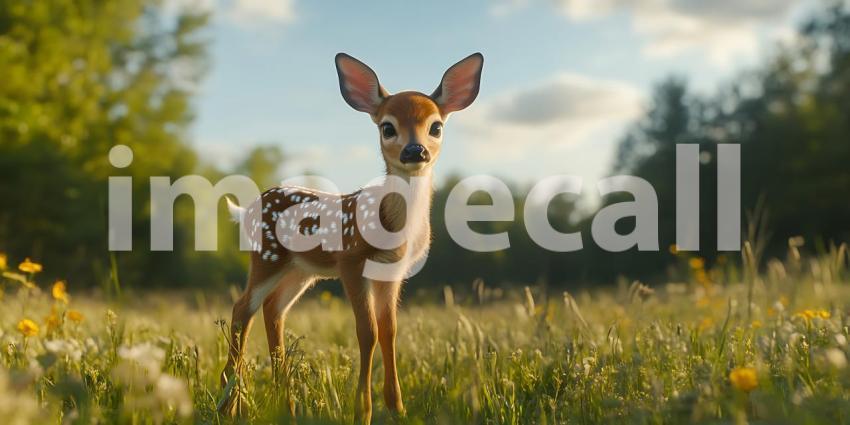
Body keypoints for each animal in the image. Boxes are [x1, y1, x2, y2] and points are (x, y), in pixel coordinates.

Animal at [219, 52, 484, 423]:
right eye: (387, 127)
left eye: (436, 126)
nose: (414, 151)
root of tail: (247, 210)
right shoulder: (351, 260)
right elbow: (366, 331)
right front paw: (363, 411)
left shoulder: (392, 272)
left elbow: (389, 330)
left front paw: (397, 407)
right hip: (267, 257)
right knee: (242, 309)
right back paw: (229, 405)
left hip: (301, 270)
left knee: (273, 310)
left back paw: (285, 405)